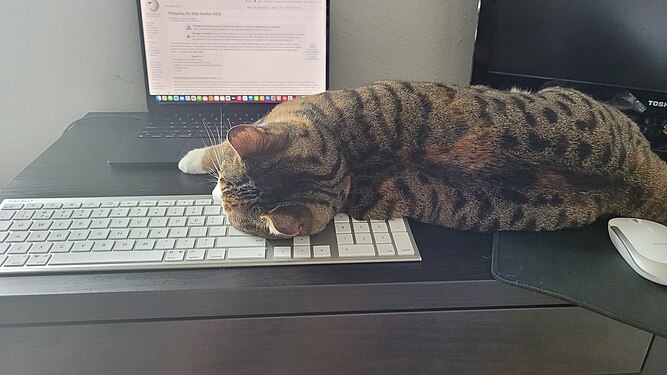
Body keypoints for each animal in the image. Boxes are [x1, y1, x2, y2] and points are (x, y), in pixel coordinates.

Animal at [177, 81, 667, 239]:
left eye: (227, 208)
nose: (218, 194)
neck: (348, 162)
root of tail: (643, 175)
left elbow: (214, 150)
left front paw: (191, 158)